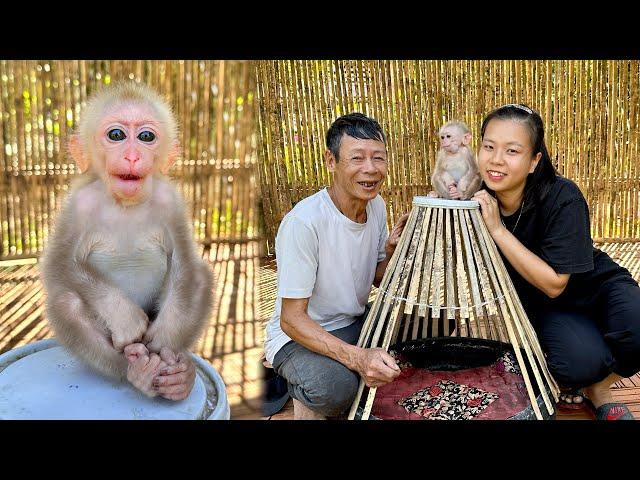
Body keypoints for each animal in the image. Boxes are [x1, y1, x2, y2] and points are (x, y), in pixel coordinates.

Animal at [40, 82, 215, 402]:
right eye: (116, 135)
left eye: (146, 137)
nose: (133, 156)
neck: (125, 205)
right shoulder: (79, 203)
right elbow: (58, 265)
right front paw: (124, 318)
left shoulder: (170, 201)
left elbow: (185, 265)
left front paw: (163, 348)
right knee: (66, 302)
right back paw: (136, 371)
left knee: (199, 278)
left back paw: (178, 374)